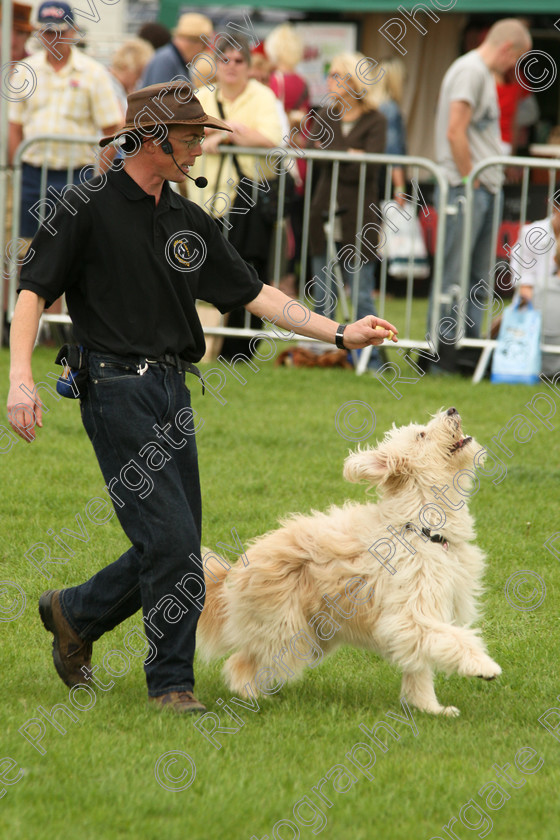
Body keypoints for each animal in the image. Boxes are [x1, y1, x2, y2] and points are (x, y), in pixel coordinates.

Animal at [198, 406, 504, 716]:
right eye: (422, 434)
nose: (452, 409)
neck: (422, 526)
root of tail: (234, 571)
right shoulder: (409, 614)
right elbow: (452, 638)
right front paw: (482, 665)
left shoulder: (421, 616)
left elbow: (419, 665)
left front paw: (428, 707)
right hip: (287, 630)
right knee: (240, 662)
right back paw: (253, 698)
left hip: (315, 632)